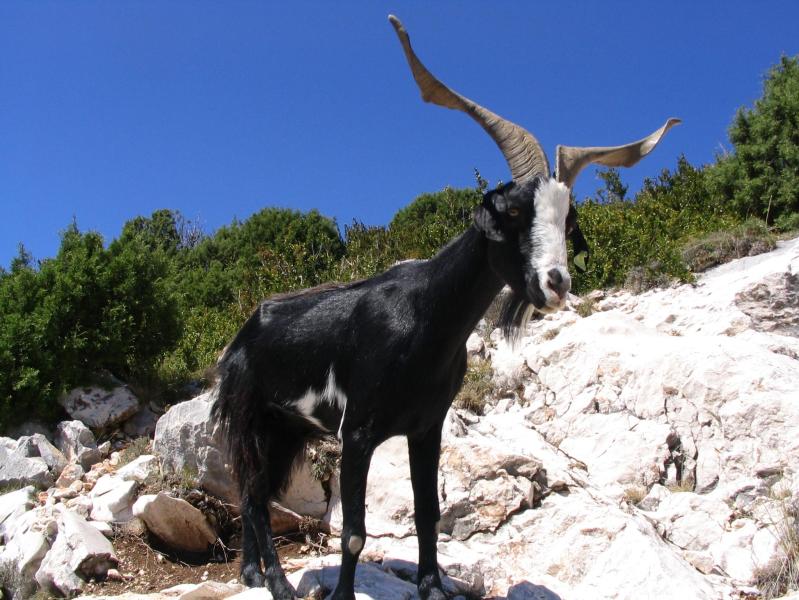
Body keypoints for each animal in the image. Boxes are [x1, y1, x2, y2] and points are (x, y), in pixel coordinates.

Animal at [209, 15, 680, 600]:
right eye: (515, 212)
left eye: (568, 221)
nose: (555, 284)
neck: (423, 320)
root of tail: (242, 336)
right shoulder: (356, 431)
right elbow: (353, 532)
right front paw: (344, 593)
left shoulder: (427, 426)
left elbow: (428, 512)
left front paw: (434, 586)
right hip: (251, 415)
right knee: (252, 493)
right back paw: (275, 580)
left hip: (287, 429)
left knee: (255, 492)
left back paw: (252, 572)